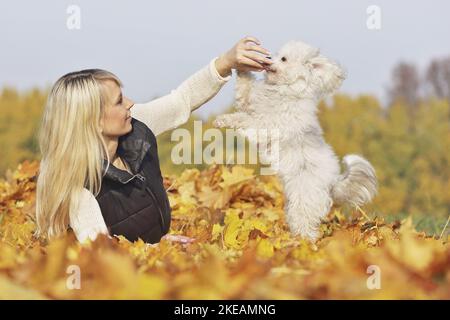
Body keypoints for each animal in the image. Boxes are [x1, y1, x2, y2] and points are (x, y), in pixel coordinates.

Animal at [213, 40, 378, 241]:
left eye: (283, 59)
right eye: (276, 54)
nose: (268, 58)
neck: (285, 90)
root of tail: (333, 182)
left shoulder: (265, 124)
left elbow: (244, 119)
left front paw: (223, 119)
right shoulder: (249, 100)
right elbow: (244, 87)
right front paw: (243, 61)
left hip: (303, 201)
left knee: (306, 226)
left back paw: (302, 243)